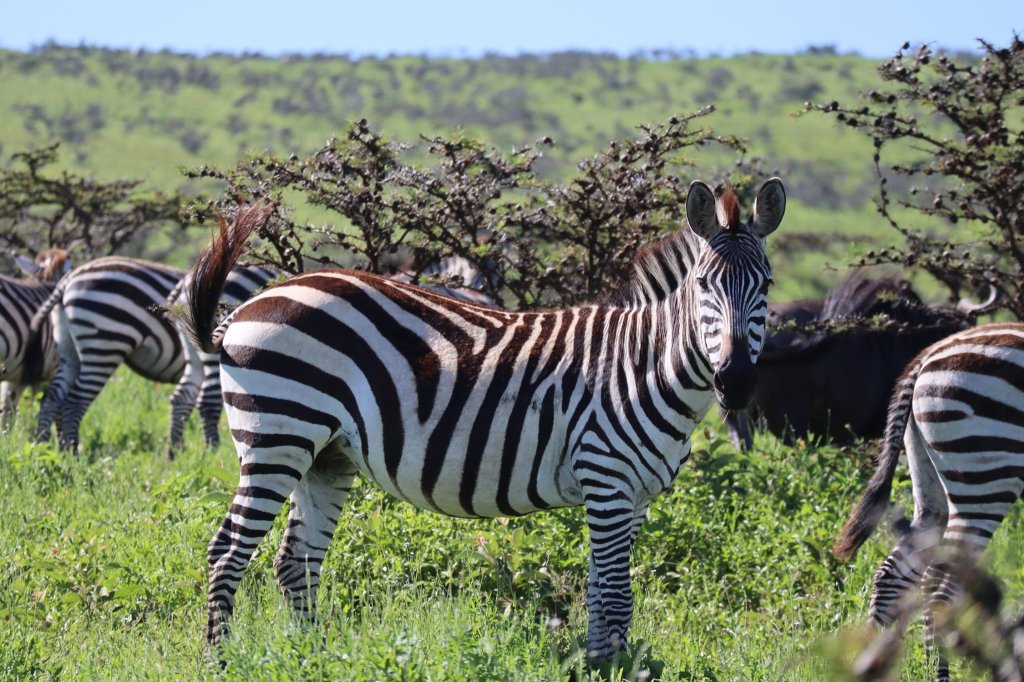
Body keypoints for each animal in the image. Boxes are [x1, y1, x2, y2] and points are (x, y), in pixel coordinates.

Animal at [180, 179, 786, 655]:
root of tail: (251, 303)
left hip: (326, 455)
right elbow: (614, 594)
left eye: (768, 285)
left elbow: (604, 592)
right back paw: (220, 661)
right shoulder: (607, 481)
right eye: (704, 285)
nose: (736, 381)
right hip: (277, 437)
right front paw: (608, 667)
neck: (645, 365)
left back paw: (316, 656)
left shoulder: (633, 497)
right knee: (227, 551)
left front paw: (606, 662)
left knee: (297, 560)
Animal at [835, 321, 1024, 675]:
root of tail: (926, 357)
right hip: (985, 476)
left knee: (892, 575)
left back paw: (875, 664)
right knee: (938, 586)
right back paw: (939, 671)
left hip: (931, 485)